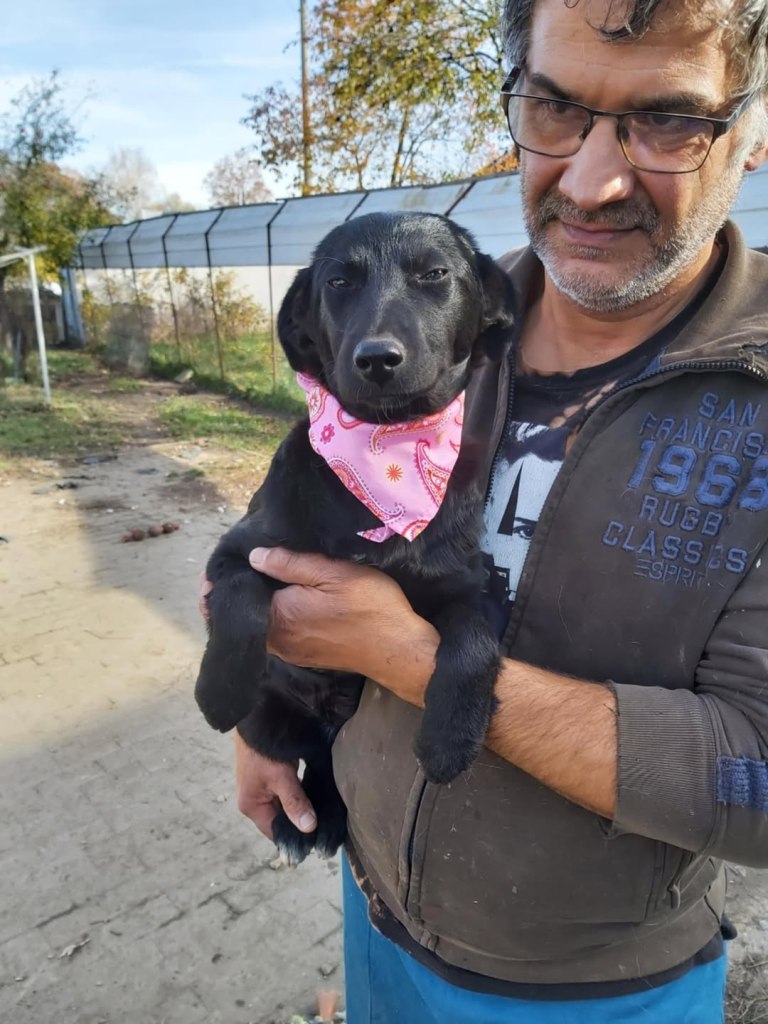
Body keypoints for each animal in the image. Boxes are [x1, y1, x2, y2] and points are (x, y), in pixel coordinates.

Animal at [195, 211, 517, 864]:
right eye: (339, 282)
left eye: (434, 274)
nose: (377, 358)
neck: (380, 458)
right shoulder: (238, 549)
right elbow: (240, 601)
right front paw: (218, 689)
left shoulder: (465, 583)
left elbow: (474, 642)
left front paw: (451, 736)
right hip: (271, 718)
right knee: (310, 757)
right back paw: (307, 821)